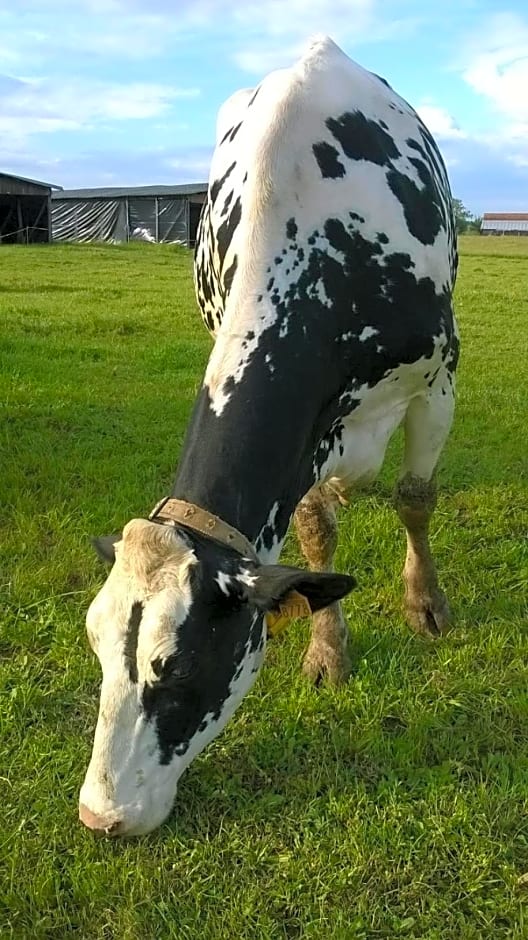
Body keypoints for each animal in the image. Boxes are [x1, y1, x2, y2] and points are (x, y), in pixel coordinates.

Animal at [78, 35, 458, 836]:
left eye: (181, 668)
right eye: (94, 648)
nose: (101, 815)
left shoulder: (440, 372)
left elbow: (415, 498)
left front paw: (424, 603)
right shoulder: (308, 435)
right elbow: (315, 531)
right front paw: (328, 650)